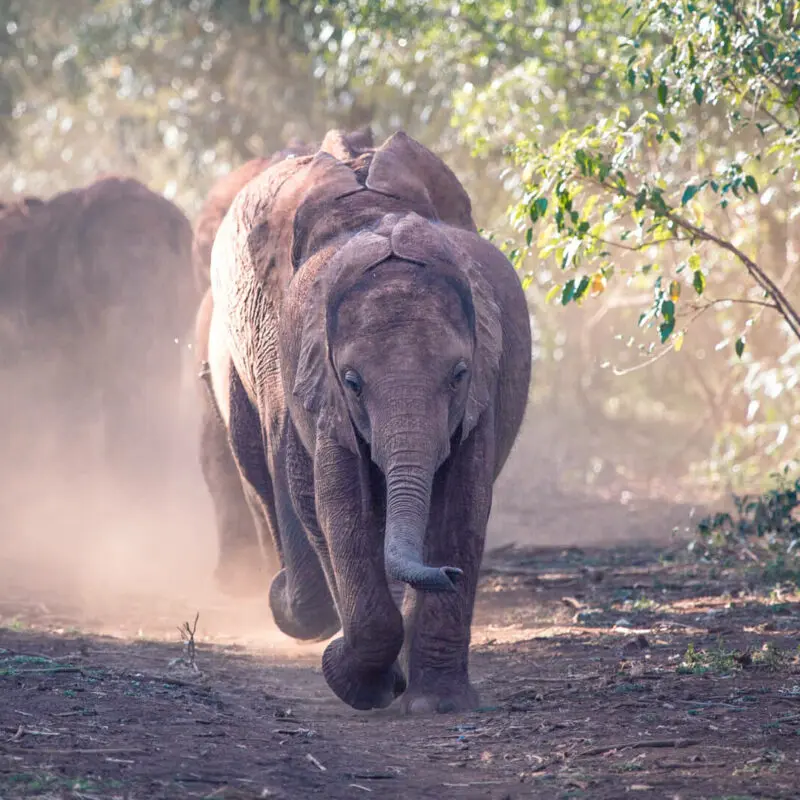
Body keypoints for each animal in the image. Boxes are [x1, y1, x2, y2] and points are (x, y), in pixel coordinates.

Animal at [201, 129, 532, 714]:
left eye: (459, 375)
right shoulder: (300, 365)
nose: (448, 575)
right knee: (262, 471)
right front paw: (359, 680)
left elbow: (464, 501)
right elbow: (334, 499)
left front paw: (437, 706)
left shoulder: (482, 391)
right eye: (352, 382)